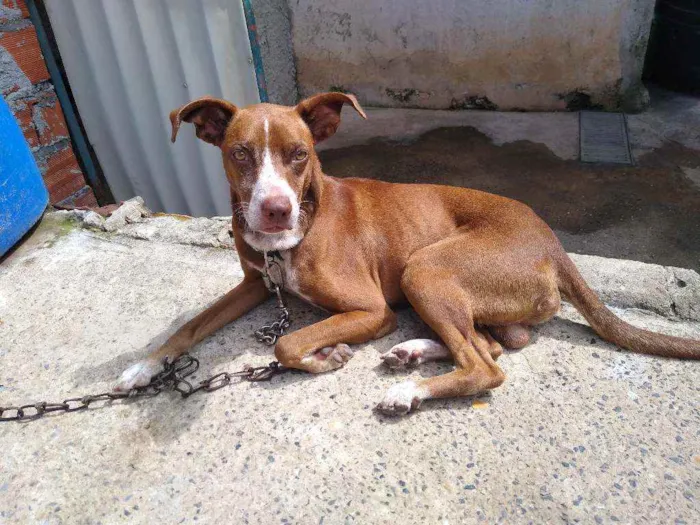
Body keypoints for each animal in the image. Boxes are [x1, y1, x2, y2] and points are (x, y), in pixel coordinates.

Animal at [115, 92, 700, 416]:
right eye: (240, 154)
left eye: (299, 154)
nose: (276, 210)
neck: (295, 233)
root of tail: (555, 243)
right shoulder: (255, 284)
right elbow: (192, 325)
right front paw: (144, 366)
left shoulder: (369, 309)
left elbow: (287, 343)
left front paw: (324, 356)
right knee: (492, 344)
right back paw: (413, 353)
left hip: (427, 266)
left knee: (486, 367)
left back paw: (410, 392)